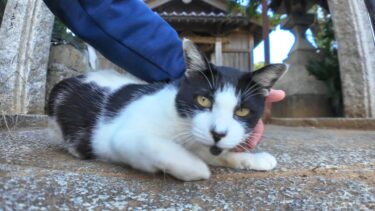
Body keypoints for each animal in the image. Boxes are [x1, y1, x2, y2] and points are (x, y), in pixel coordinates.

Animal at [47, 39, 288, 181]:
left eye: (242, 112)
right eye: (203, 100)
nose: (218, 133)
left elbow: (218, 153)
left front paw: (252, 158)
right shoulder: (122, 136)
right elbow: (155, 146)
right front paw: (197, 168)